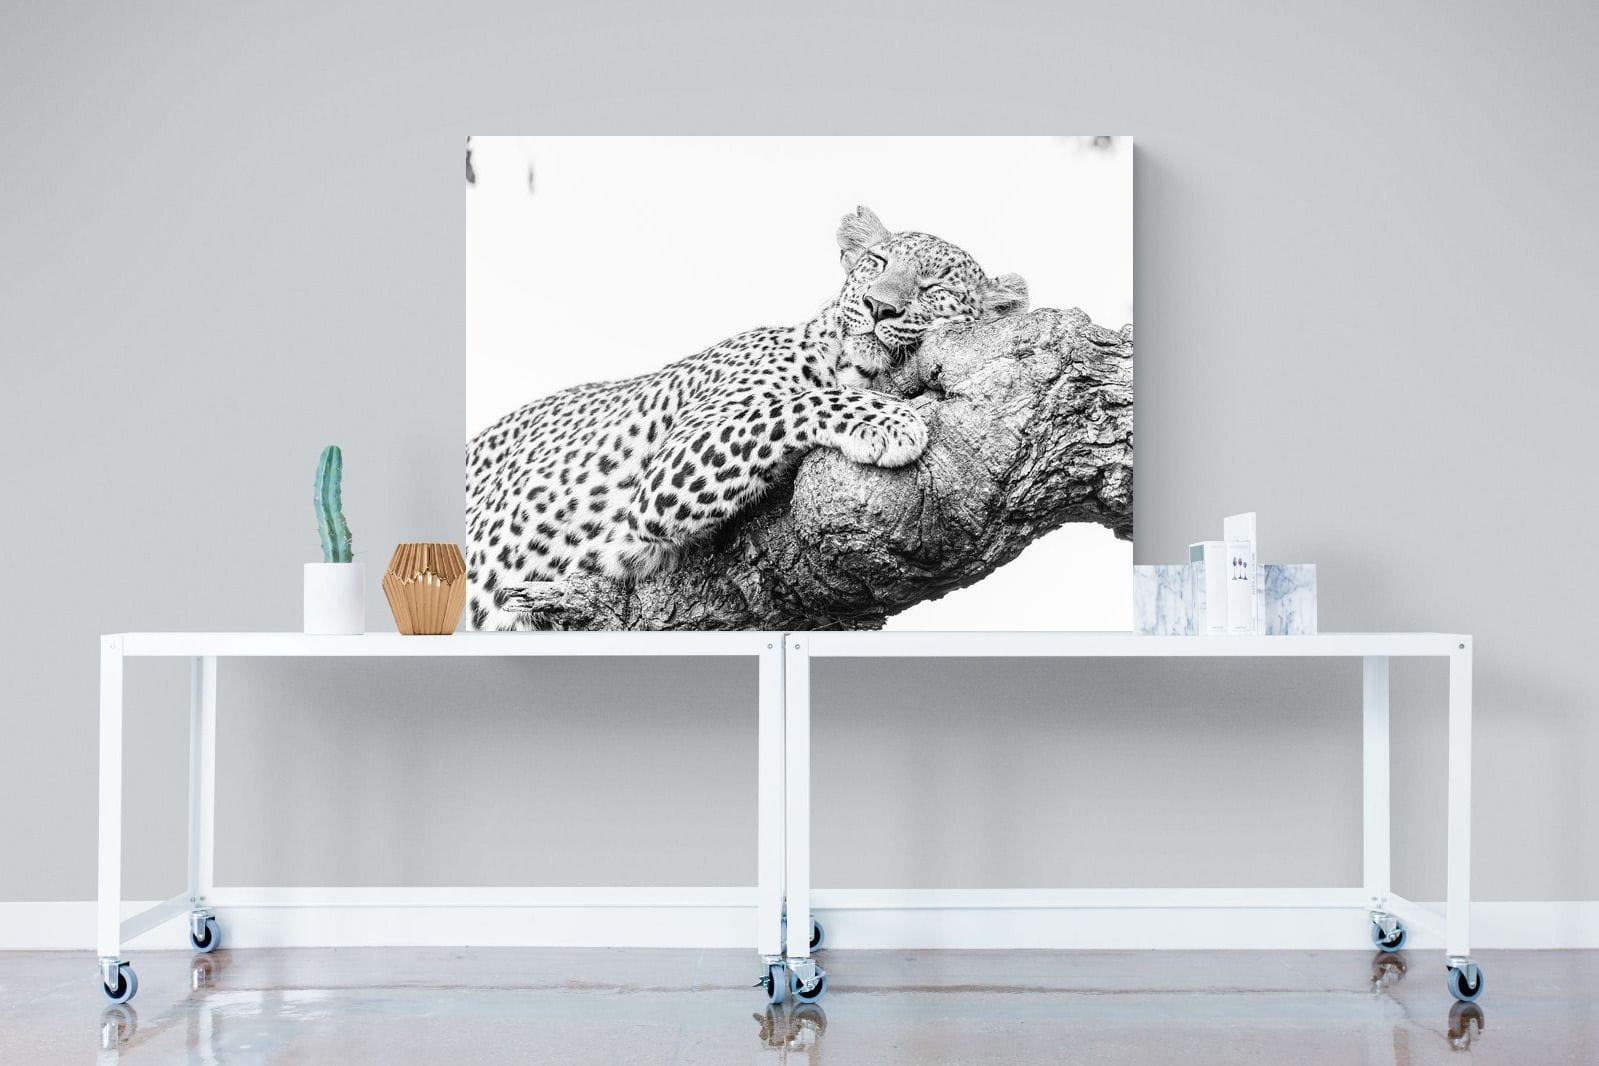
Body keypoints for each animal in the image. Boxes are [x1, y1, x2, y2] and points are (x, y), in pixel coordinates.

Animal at [465, 206, 1029, 630]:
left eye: (935, 287)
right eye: (877, 261)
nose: (878, 306)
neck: (847, 361)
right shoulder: (667, 471)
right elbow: (793, 404)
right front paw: (891, 420)